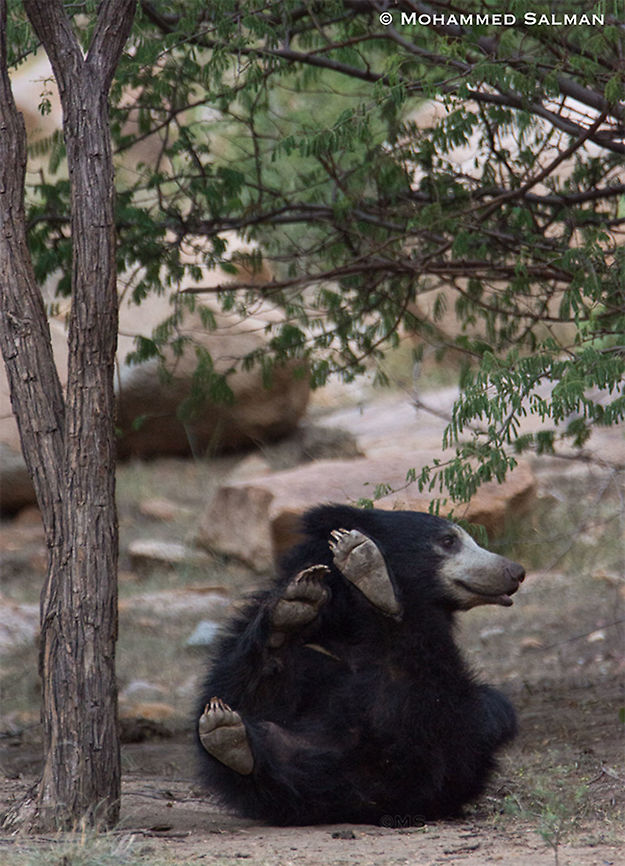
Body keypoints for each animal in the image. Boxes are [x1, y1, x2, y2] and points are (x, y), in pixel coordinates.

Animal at [196, 504, 525, 826]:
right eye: (448, 541)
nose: (515, 571)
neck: (354, 622)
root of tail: (366, 797)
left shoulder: (461, 731)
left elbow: (446, 714)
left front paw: (363, 568)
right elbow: (237, 689)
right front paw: (293, 608)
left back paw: (375, 580)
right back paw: (231, 739)